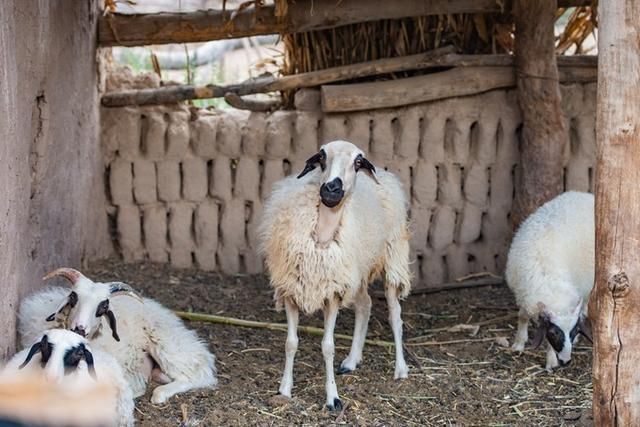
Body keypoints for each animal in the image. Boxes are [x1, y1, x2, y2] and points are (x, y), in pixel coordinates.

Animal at [17, 270, 218, 406]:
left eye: (103, 306)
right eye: (73, 297)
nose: (79, 329)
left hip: (167, 346)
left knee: (199, 375)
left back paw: (160, 394)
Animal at [258, 140, 412, 412]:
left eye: (358, 162)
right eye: (321, 157)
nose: (331, 188)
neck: (321, 236)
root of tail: (385, 175)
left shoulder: (333, 295)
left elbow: (327, 346)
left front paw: (332, 397)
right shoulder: (291, 291)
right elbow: (291, 343)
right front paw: (284, 389)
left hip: (393, 258)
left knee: (395, 315)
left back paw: (400, 369)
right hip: (357, 271)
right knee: (365, 305)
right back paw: (351, 360)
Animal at [504, 191, 596, 372]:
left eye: (574, 330)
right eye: (553, 333)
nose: (566, 361)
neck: (547, 276)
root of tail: (586, 195)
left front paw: (551, 360)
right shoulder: (523, 293)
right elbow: (522, 316)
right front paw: (518, 343)